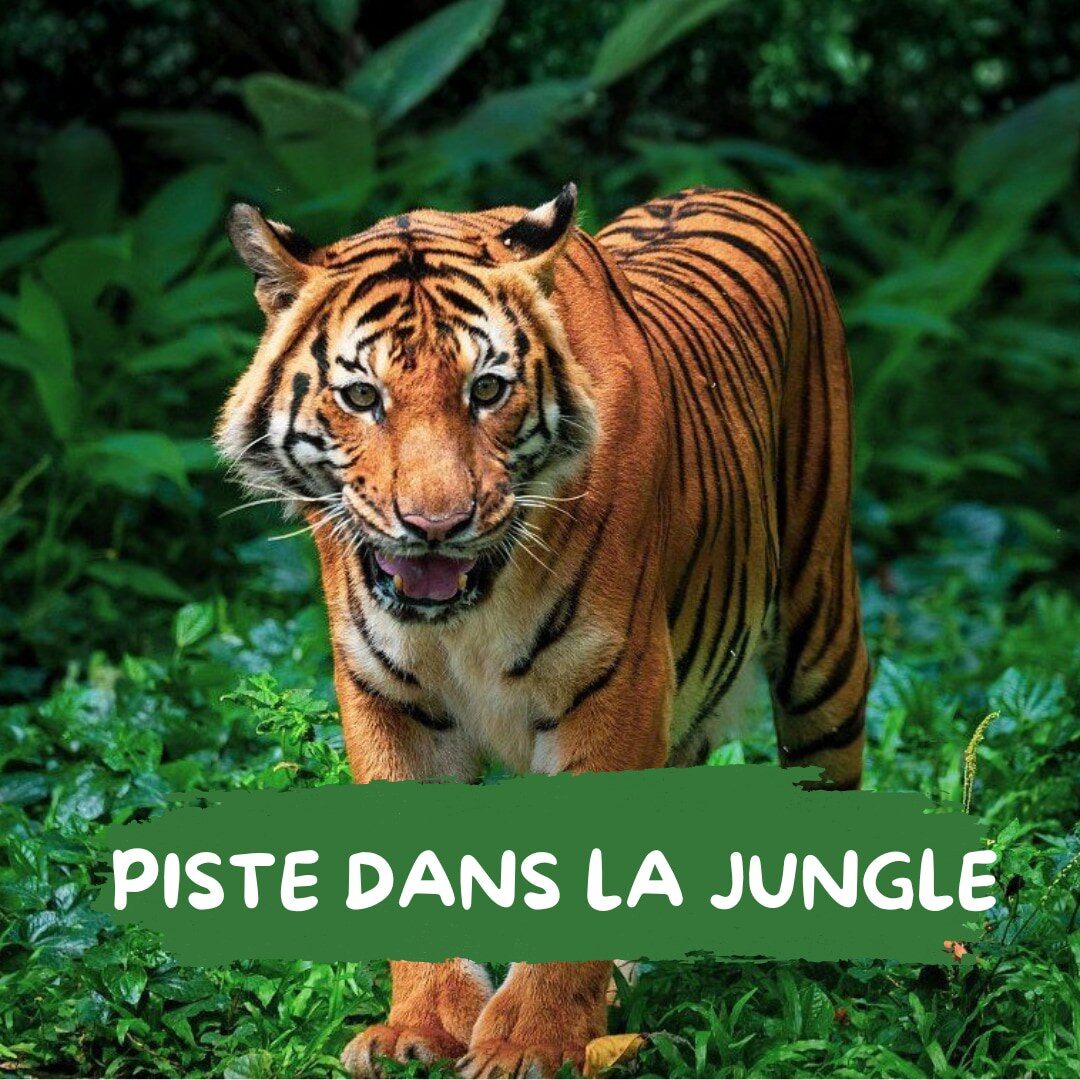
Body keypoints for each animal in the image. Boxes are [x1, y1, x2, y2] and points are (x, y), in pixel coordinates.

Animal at [217, 183, 871, 1078]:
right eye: (361, 398)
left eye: (488, 391)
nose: (435, 526)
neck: (466, 610)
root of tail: (722, 189)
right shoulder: (389, 696)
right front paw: (420, 1030)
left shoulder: (616, 685)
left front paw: (532, 1043)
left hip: (819, 633)